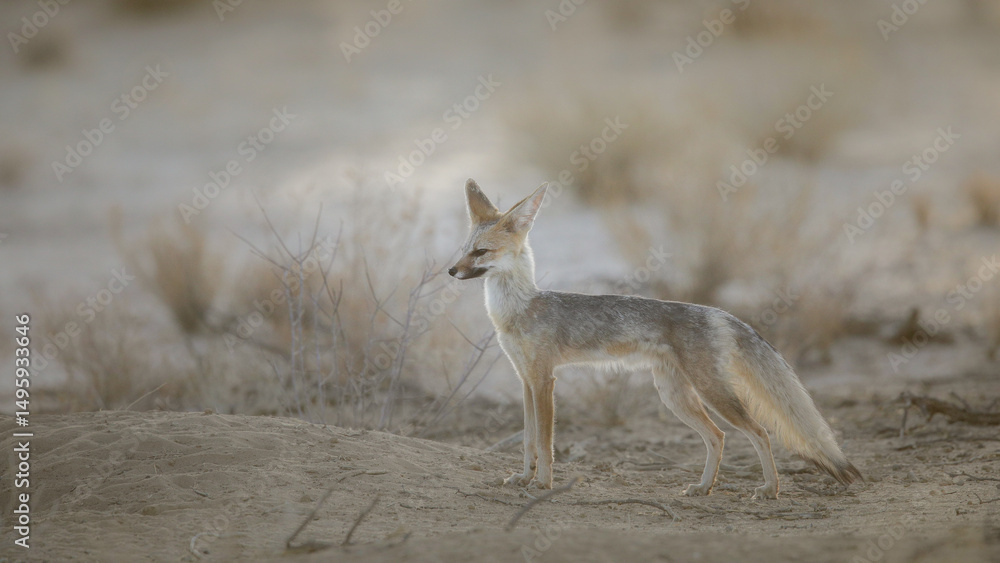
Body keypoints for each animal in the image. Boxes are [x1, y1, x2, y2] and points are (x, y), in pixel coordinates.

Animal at [448, 179, 861, 499]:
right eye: (463, 250)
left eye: (480, 253)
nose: (451, 271)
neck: (517, 310)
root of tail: (719, 312)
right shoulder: (526, 381)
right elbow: (528, 441)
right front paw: (524, 477)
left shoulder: (544, 380)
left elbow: (546, 444)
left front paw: (544, 484)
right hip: (675, 396)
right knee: (718, 437)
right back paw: (704, 488)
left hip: (710, 393)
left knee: (759, 432)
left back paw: (770, 490)